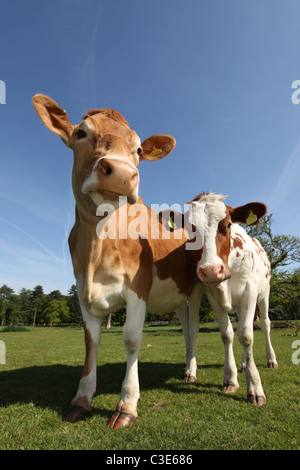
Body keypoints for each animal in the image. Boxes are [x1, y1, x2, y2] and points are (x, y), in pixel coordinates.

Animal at [32, 94, 202, 430]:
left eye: (138, 150)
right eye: (81, 133)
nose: (123, 173)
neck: (97, 249)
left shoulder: (138, 286)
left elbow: (132, 339)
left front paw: (127, 404)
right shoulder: (82, 288)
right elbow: (91, 341)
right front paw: (82, 399)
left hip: (200, 289)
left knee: (196, 327)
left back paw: (191, 370)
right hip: (177, 296)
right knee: (186, 329)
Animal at [189, 193, 278, 406]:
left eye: (228, 224)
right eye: (190, 228)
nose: (211, 271)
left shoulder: (250, 292)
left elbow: (246, 336)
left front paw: (255, 387)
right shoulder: (213, 296)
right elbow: (227, 334)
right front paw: (230, 379)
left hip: (264, 293)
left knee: (265, 324)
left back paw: (271, 359)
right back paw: (244, 364)